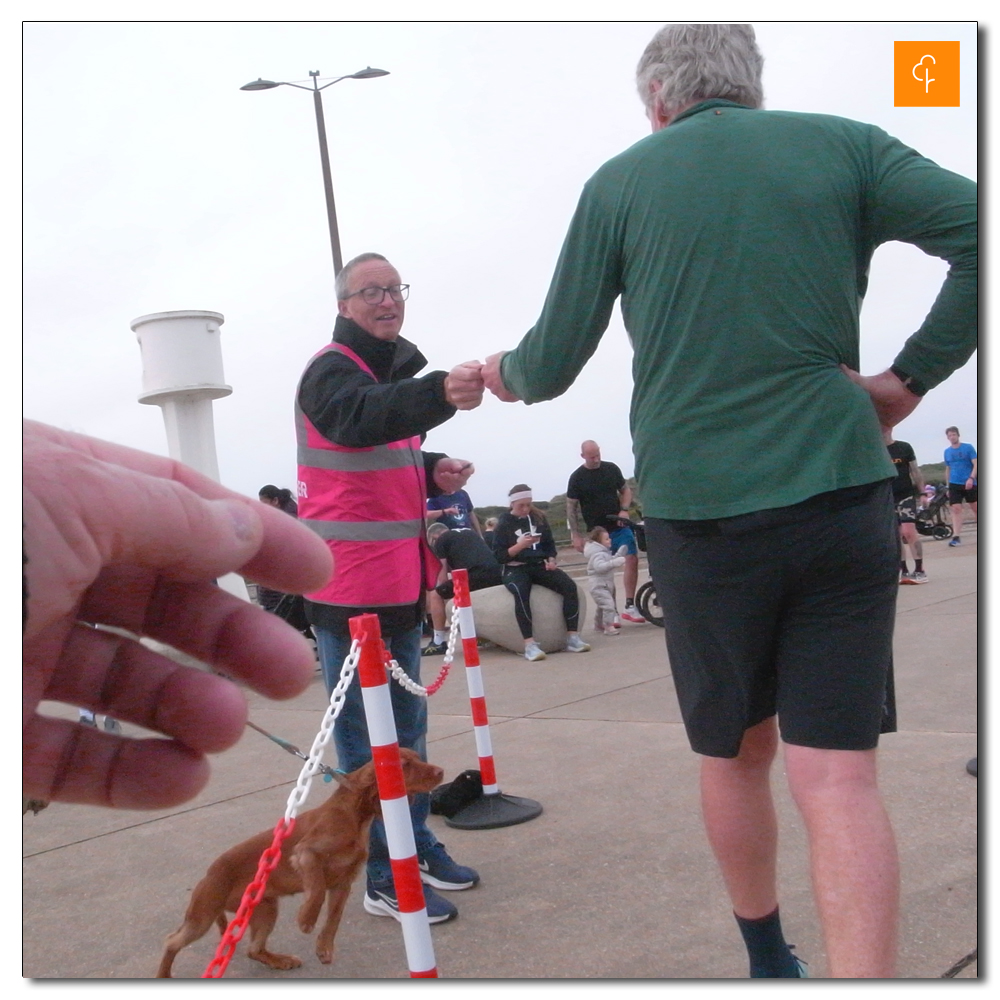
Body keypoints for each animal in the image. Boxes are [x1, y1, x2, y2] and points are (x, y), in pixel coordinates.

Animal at [155, 752, 442, 976]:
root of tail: (208, 873)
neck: (355, 816)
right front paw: (306, 919)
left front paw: (324, 948)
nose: (441, 771)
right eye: (404, 764)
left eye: (417, 758)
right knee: (171, 941)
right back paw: (164, 975)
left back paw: (280, 960)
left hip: (265, 909)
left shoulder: (343, 883)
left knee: (253, 949)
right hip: (203, 914)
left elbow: (333, 918)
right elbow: (316, 890)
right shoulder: (306, 853)